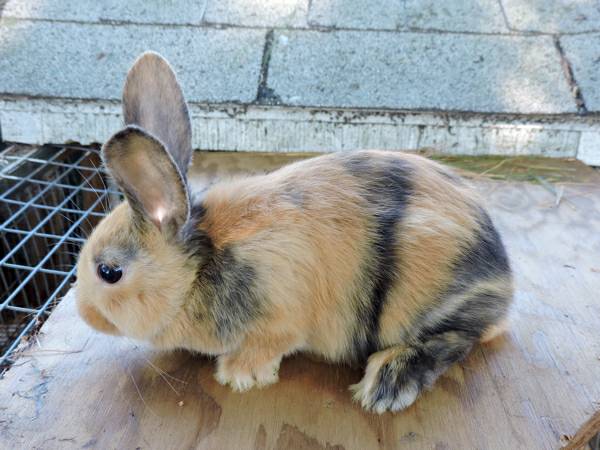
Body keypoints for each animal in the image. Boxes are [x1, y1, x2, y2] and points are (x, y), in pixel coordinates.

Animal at [75, 51, 512, 414]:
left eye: (109, 272)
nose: (84, 314)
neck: (199, 269)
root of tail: (504, 281)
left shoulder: (280, 318)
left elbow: (270, 345)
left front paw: (239, 375)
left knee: (457, 338)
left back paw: (386, 384)